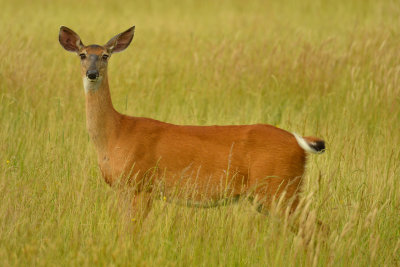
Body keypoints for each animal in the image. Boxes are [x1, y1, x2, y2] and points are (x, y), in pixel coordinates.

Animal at [58, 26, 324, 224]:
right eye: (82, 55)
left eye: (105, 55)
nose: (92, 73)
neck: (115, 133)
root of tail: (300, 142)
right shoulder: (126, 189)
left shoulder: (141, 184)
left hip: (278, 187)